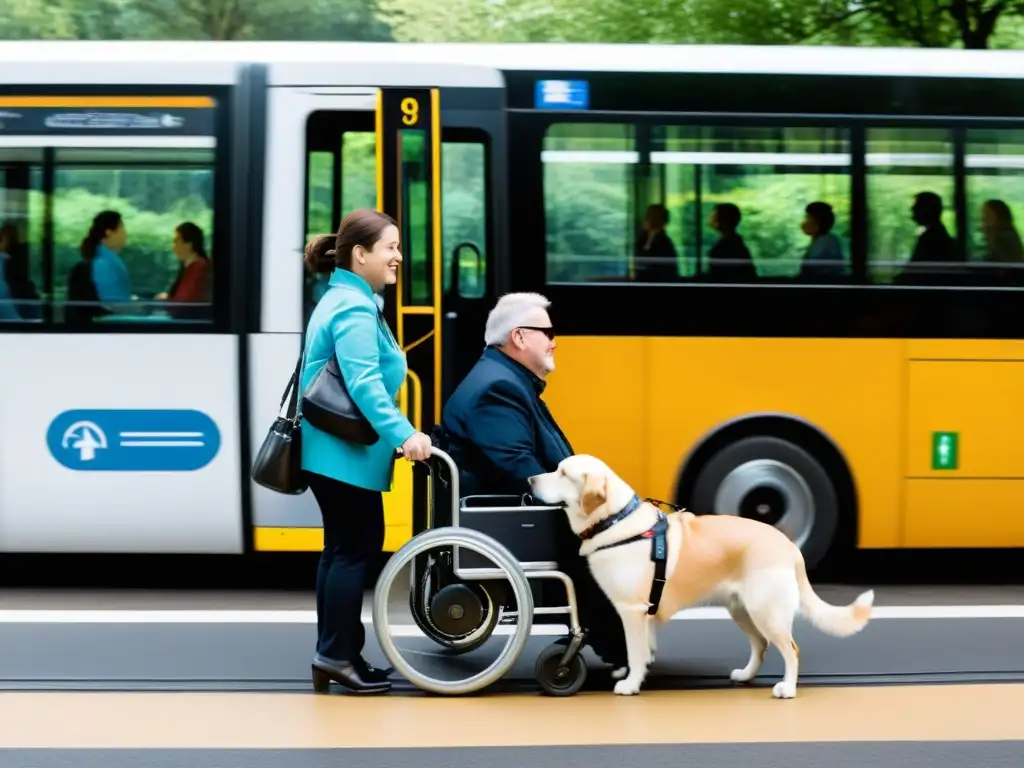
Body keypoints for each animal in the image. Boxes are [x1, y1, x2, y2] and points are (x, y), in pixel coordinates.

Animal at [528, 454, 872, 700]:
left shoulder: (632, 610)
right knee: (761, 644)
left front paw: (630, 683)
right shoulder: (642, 613)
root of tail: (789, 545)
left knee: (790, 649)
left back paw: (787, 689)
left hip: (766, 611)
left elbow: (636, 650)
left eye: (563, 473)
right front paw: (635, 672)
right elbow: (642, 649)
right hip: (742, 610)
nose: (530, 479)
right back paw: (746, 676)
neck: (615, 521)